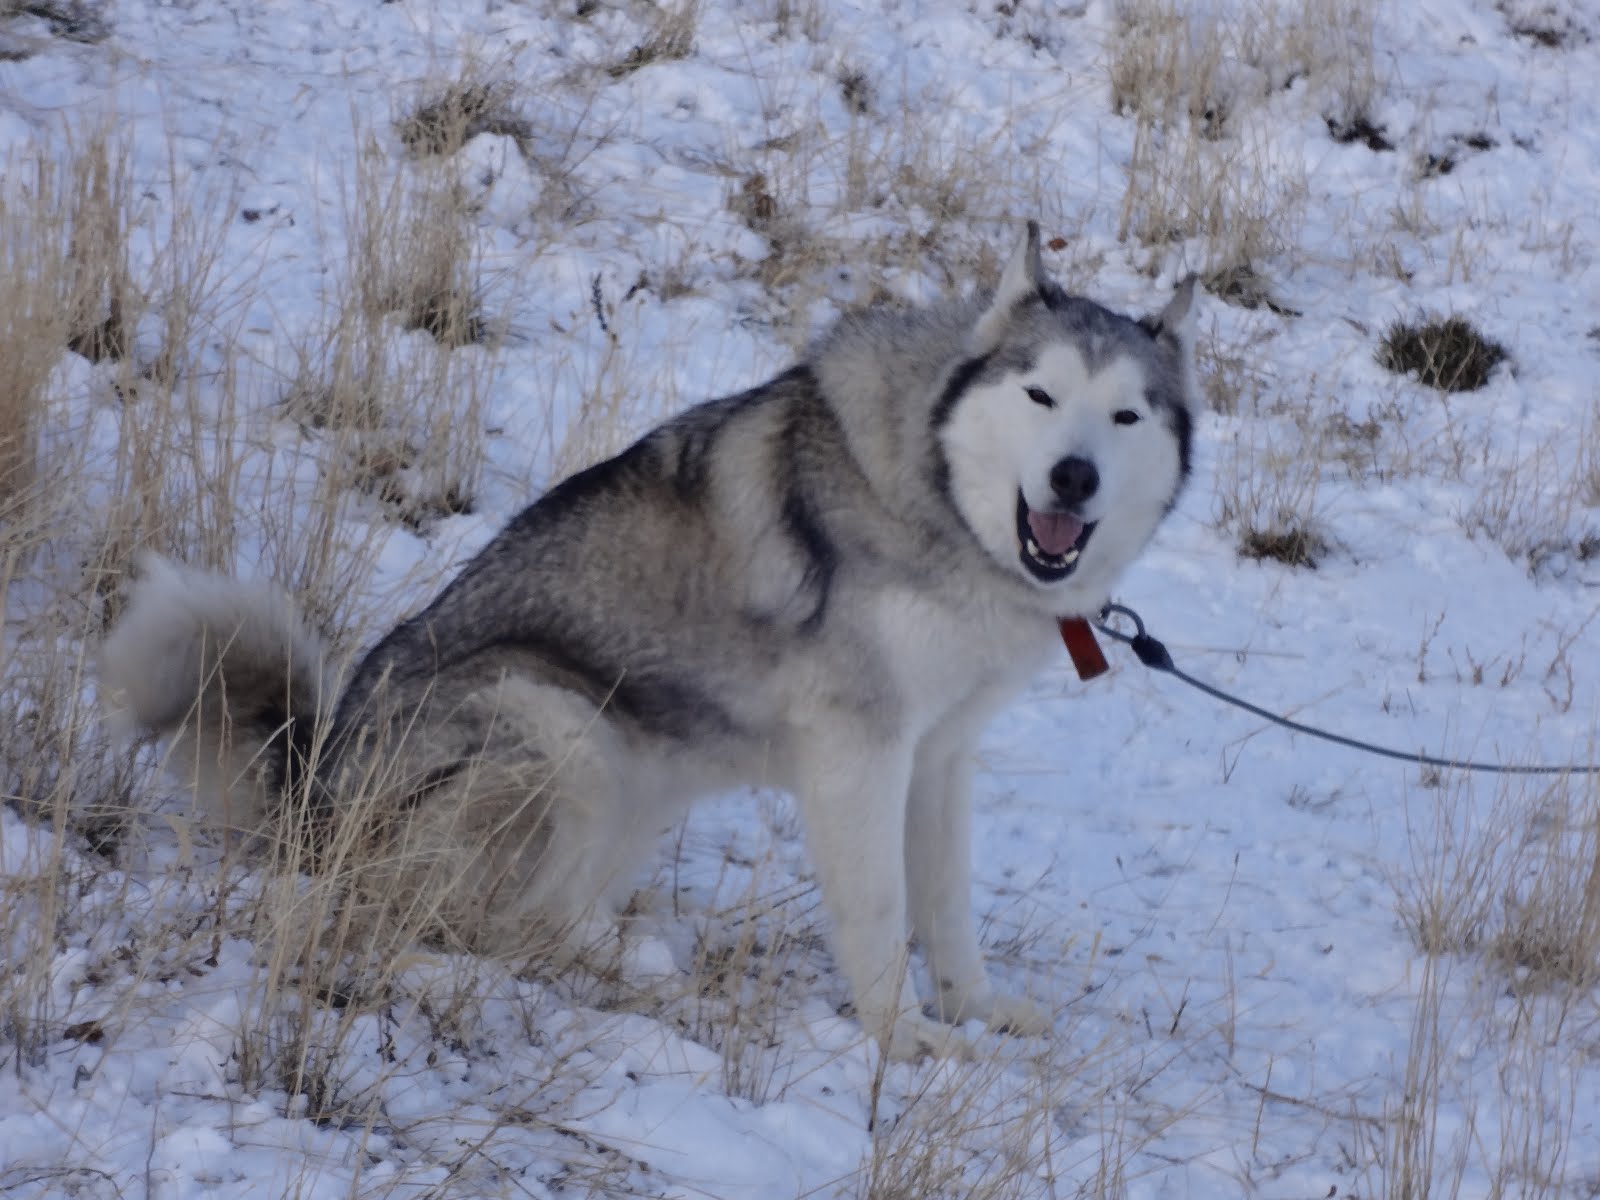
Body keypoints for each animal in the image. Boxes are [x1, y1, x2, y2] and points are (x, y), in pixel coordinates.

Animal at [100, 225, 1196, 1062]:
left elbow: (948, 907)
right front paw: (902, 1038)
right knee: (449, 927)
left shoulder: (940, 754)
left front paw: (972, 1008)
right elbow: (882, 916)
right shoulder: (861, 751)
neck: (939, 504)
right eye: (1040, 396)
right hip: (556, 725)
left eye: (1124, 415)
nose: (1072, 479)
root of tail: (314, 798)